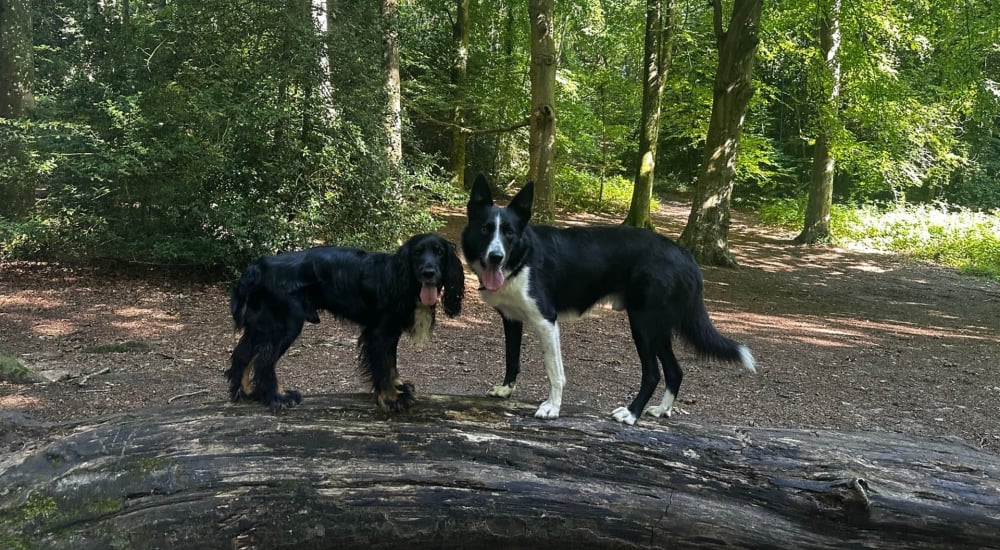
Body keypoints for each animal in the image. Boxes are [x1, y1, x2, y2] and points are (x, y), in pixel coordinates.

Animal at [227, 233, 464, 414]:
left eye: (440, 252)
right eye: (417, 252)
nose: (429, 272)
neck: (400, 276)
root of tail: (258, 267)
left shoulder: (391, 331)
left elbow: (391, 361)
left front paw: (398, 385)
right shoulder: (378, 332)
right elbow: (382, 365)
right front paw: (390, 398)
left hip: (262, 325)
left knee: (243, 355)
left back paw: (248, 392)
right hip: (285, 324)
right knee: (263, 362)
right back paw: (278, 397)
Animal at [464, 175, 752, 424]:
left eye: (509, 233)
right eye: (485, 229)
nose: (496, 257)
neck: (522, 258)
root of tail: (685, 255)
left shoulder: (546, 320)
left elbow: (554, 370)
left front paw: (552, 407)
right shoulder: (512, 319)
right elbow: (511, 357)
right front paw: (505, 389)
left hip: (643, 324)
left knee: (653, 373)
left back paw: (631, 413)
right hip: (658, 329)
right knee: (674, 371)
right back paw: (661, 410)